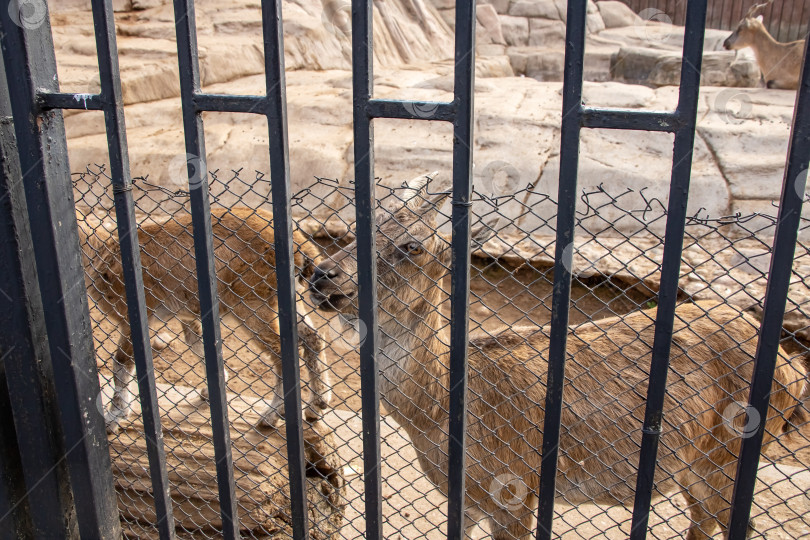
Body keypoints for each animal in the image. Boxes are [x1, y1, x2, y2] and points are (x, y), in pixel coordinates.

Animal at [80, 205, 332, 432]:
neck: (103, 253)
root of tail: (301, 245)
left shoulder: (132, 319)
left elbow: (120, 365)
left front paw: (114, 417)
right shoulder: (187, 315)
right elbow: (198, 345)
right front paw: (214, 389)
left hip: (251, 304)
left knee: (282, 351)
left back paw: (271, 416)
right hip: (282, 300)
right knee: (313, 337)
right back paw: (317, 405)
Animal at [306, 174, 804, 540]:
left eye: (412, 245)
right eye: (356, 227)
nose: (321, 275)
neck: (437, 415)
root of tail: (795, 370)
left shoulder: (512, 491)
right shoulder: (461, 500)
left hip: (727, 458)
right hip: (697, 467)